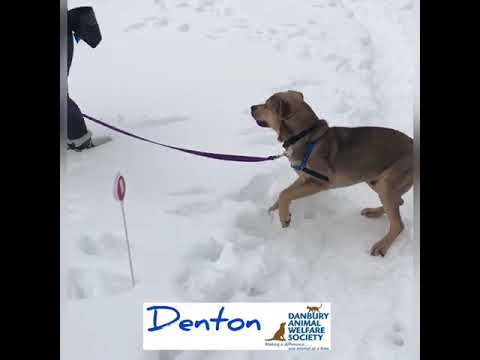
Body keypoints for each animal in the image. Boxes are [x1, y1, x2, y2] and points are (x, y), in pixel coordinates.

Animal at [251, 91, 412, 258]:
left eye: (267, 105)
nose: (251, 107)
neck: (304, 135)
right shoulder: (304, 177)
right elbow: (285, 192)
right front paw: (273, 209)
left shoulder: (320, 182)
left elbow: (285, 193)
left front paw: (284, 218)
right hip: (376, 181)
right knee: (399, 201)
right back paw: (374, 212)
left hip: (387, 182)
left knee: (398, 224)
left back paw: (382, 245)